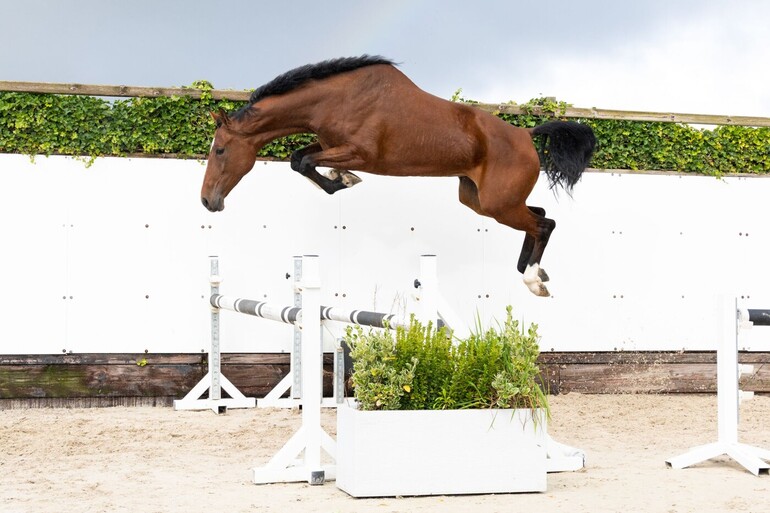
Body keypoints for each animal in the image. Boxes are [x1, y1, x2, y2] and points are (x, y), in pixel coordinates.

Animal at [201, 56, 595, 297]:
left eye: (219, 151)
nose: (207, 201)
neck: (334, 100)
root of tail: (527, 135)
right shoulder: (331, 144)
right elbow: (302, 159)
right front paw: (342, 177)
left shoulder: (361, 153)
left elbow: (302, 161)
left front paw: (345, 179)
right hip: (480, 201)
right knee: (540, 216)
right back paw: (533, 270)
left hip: (499, 204)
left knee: (544, 224)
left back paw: (533, 280)